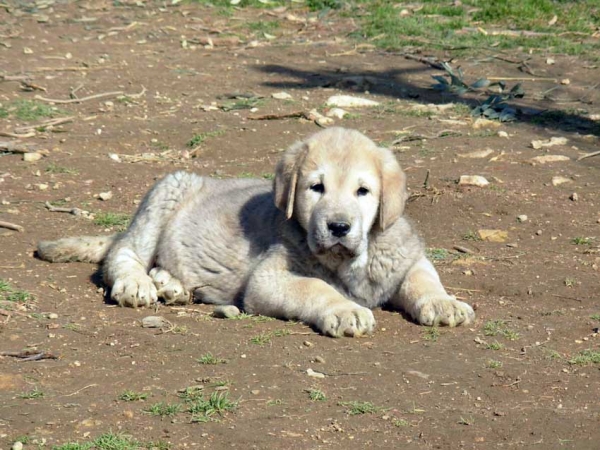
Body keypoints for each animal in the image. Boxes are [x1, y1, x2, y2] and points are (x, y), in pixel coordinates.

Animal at [37, 128, 474, 336]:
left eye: (363, 192)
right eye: (316, 188)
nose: (338, 226)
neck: (350, 260)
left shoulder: (404, 255)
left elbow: (423, 278)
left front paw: (444, 303)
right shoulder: (270, 277)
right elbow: (316, 288)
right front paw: (345, 309)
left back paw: (170, 285)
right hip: (165, 191)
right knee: (123, 253)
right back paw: (138, 284)